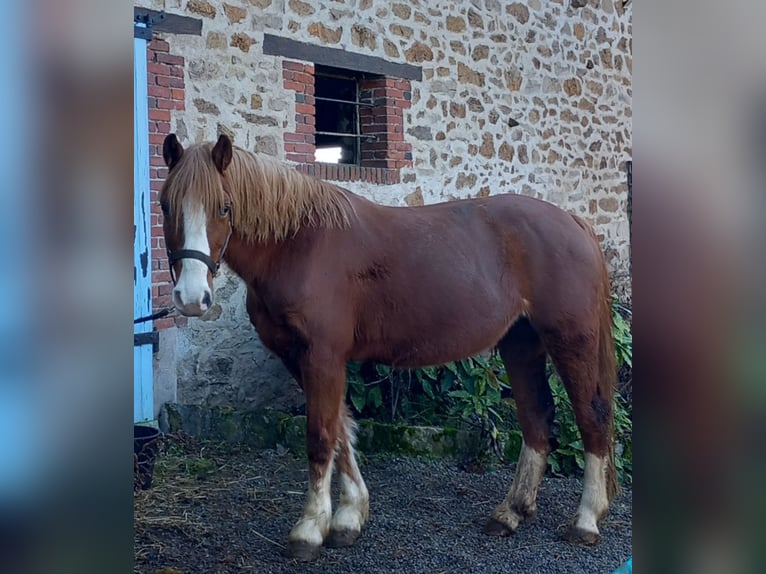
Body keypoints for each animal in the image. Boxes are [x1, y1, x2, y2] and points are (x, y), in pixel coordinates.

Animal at [159, 135, 620, 564]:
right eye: (165, 205)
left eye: (223, 207)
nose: (191, 298)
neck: (299, 244)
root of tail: (572, 222)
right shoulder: (299, 358)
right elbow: (342, 430)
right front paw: (349, 518)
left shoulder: (322, 356)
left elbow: (321, 435)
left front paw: (309, 529)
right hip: (521, 342)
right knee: (536, 418)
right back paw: (510, 512)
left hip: (570, 339)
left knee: (591, 416)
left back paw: (585, 520)